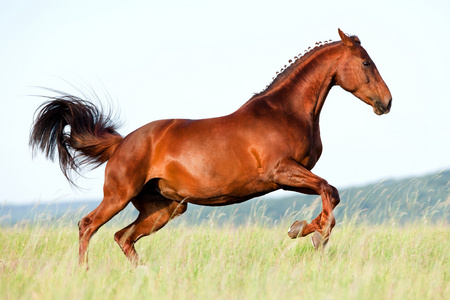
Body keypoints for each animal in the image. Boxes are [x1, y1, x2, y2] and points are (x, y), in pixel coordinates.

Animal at [30, 29, 390, 266]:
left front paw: (302, 229)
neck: (284, 111)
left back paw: (143, 274)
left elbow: (332, 193)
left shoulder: (290, 177)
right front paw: (311, 233)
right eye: (366, 63)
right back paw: (83, 272)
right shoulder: (282, 172)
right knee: (88, 225)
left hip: (163, 209)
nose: (386, 103)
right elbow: (329, 192)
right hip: (119, 196)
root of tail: (122, 143)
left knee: (123, 237)